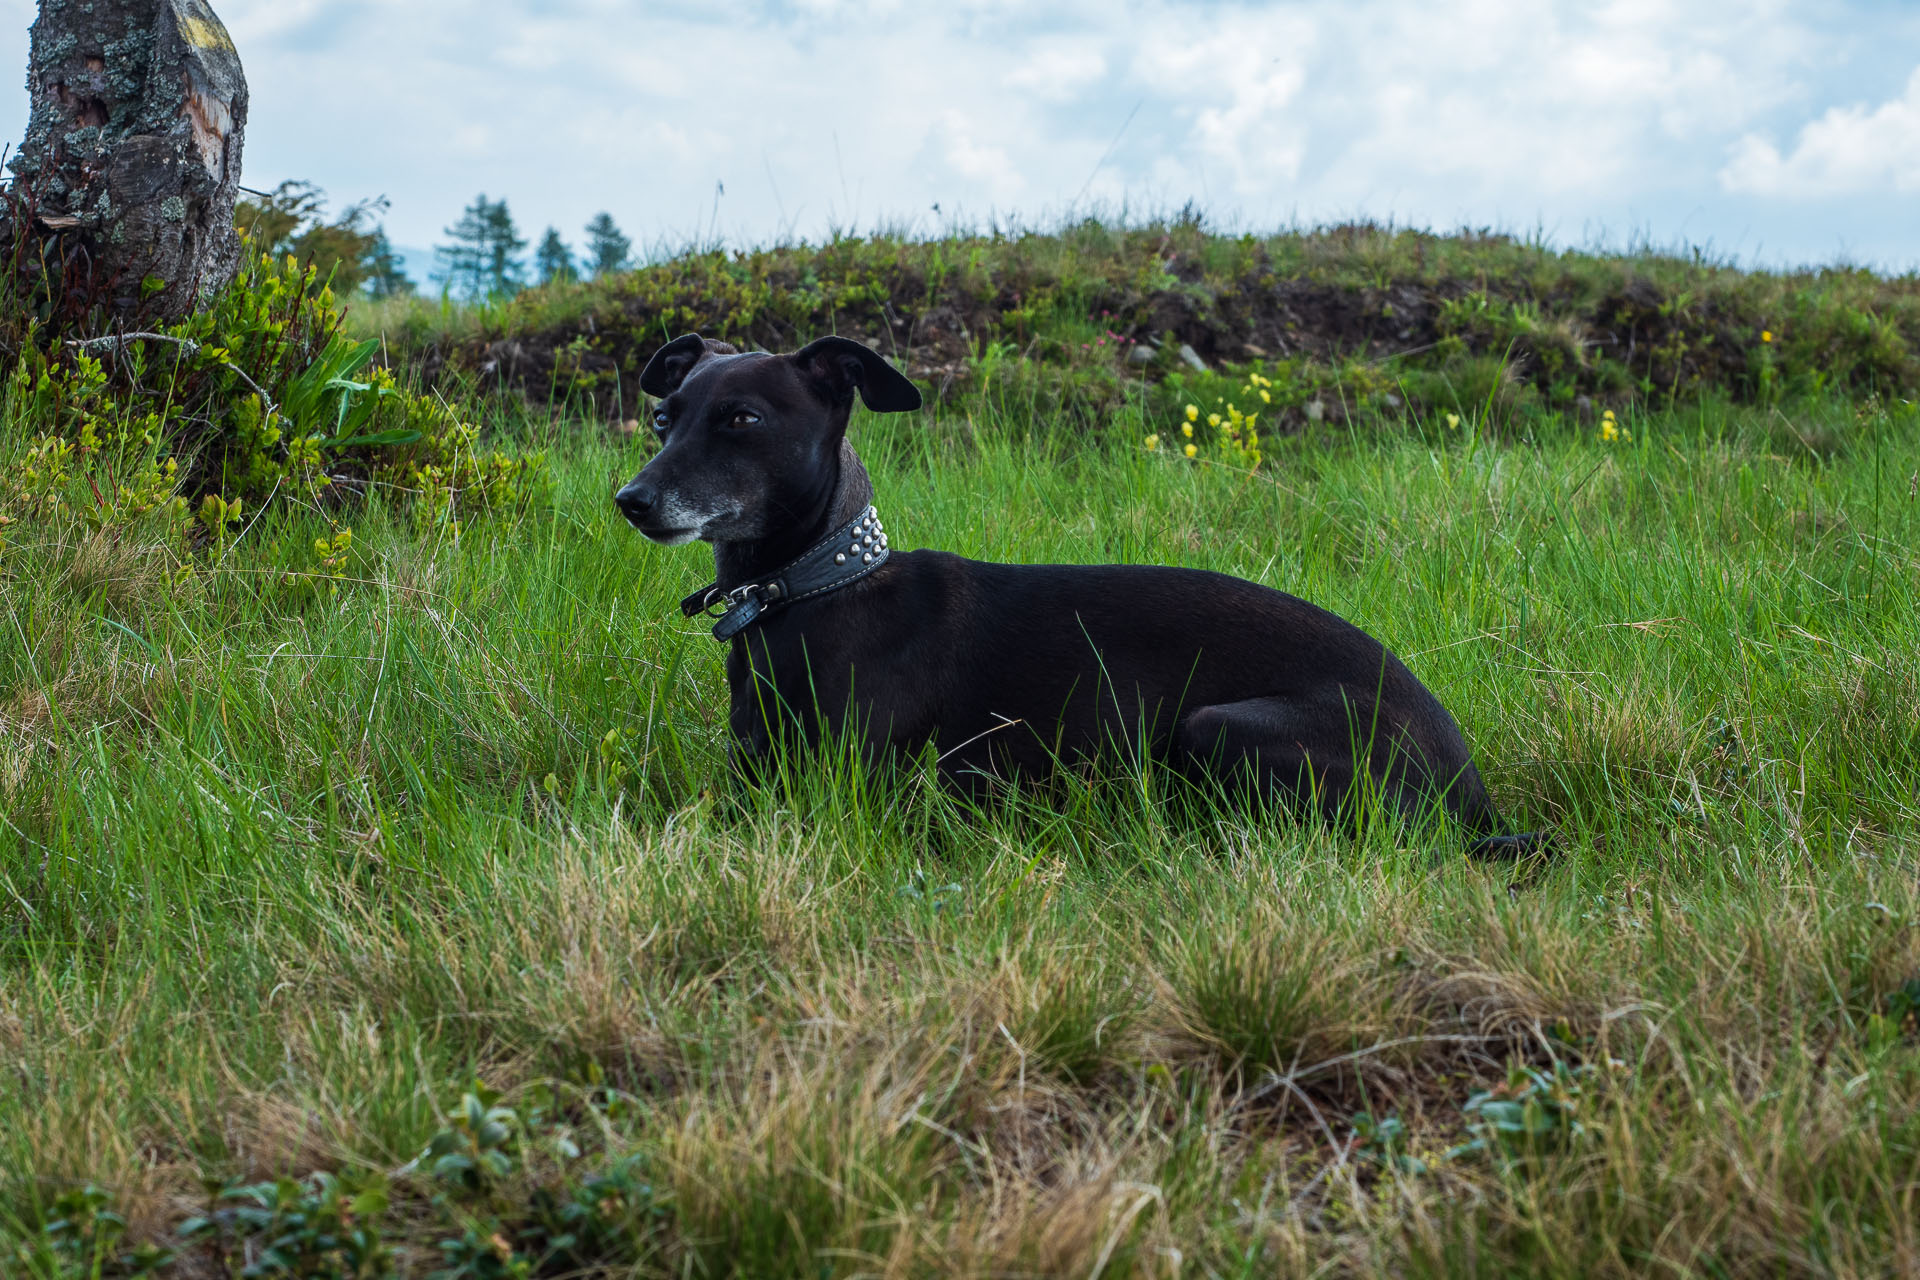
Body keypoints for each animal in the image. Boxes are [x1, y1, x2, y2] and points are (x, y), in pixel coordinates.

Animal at [622, 333, 1551, 859]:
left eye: (742, 419)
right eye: (664, 417)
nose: (631, 501)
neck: (819, 585)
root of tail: (1471, 797)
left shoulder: (842, 787)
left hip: (1220, 729)